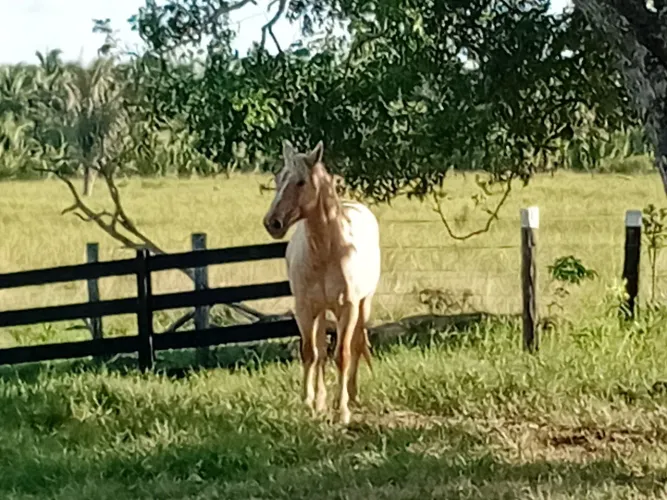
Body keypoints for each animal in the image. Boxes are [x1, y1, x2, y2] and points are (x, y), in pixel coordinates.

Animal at [262, 139, 381, 425]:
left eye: (301, 182)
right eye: (279, 178)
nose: (272, 223)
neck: (327, 252)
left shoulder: (347, 308)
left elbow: (343, 355)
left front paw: (343, 411)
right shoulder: (305, 309)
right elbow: (311, 353)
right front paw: (310, 403)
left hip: (364, 306)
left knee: (356, 345)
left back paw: (351, 395)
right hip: (320, 312)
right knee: (320, 351)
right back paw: (321, 401)